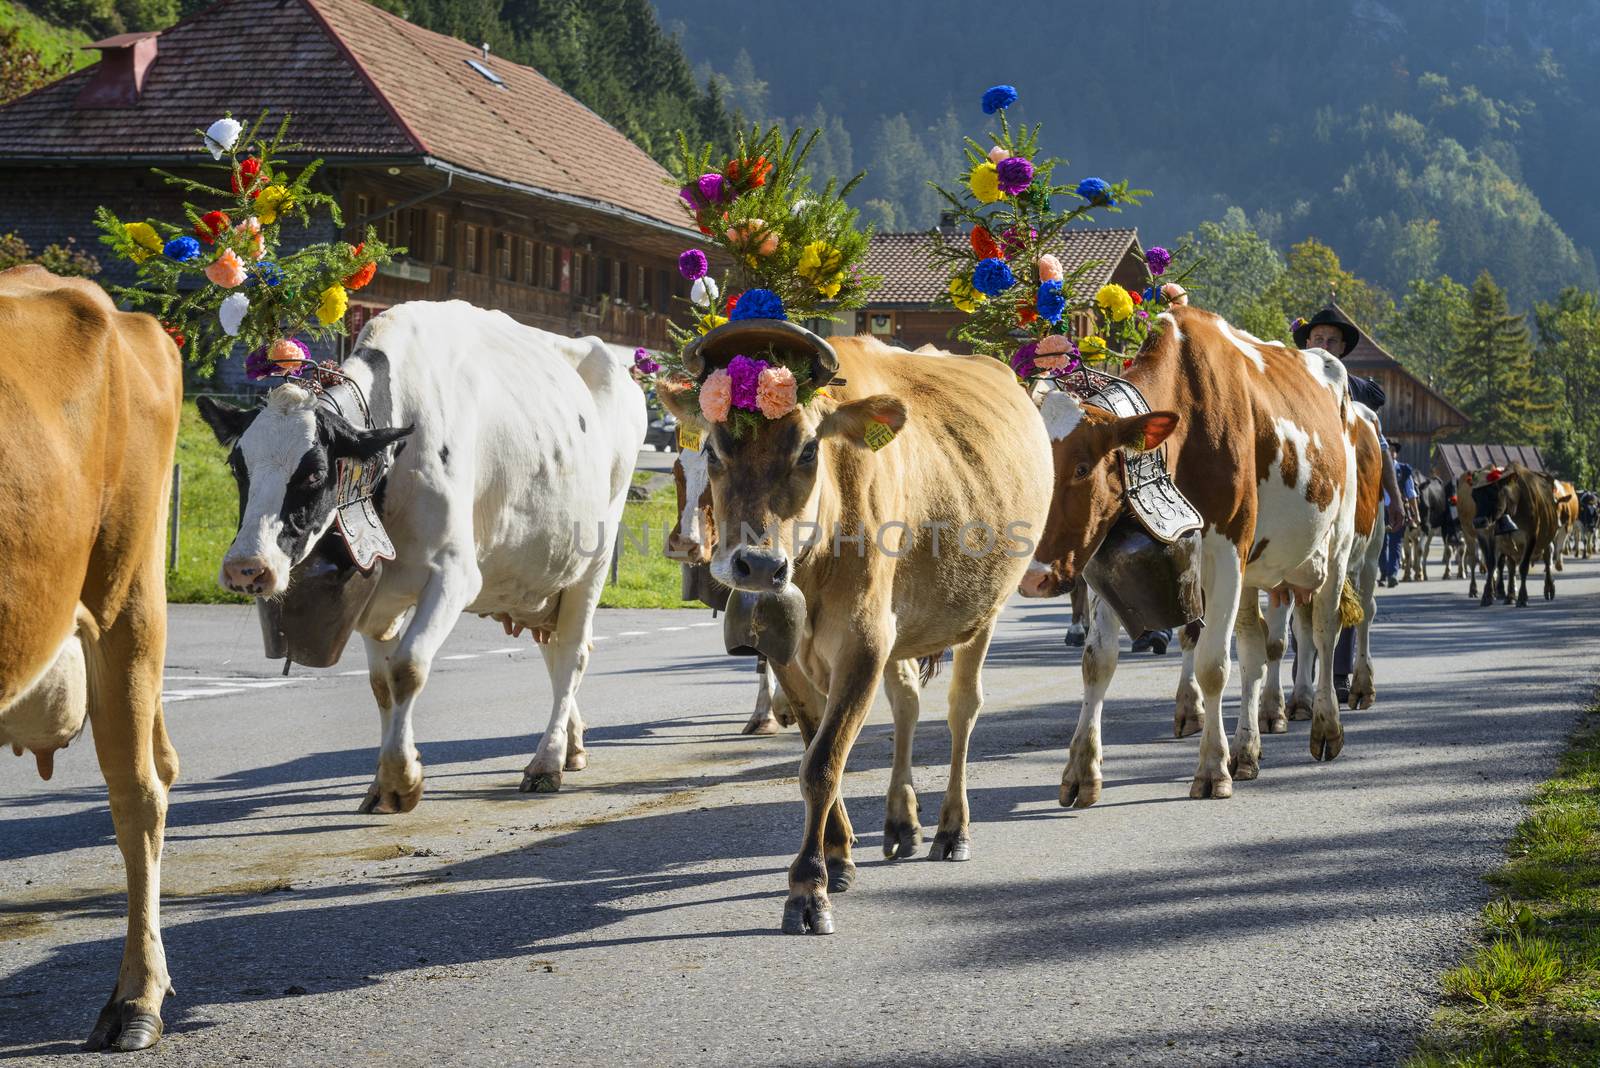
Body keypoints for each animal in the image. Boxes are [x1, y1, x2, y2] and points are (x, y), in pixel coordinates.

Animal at [200, 300, 643, 808]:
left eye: (313, 472)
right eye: (238, 466)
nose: (246, 567)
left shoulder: (455, 573)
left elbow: (408, 669)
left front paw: (401, 779)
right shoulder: (377, 587)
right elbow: (380, 683)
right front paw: (383, 781)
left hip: (592, 561)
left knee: (572, 654)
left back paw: (546, 761)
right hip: (542, 577)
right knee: (554, 654)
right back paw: (571, 746)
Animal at [656, 334, 1056, 933]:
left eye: (807, 450)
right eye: (712, 451)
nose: (756, 565)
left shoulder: (864, 641)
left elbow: (823, 763)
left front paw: (808, 888)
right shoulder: (790, 654)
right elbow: (818, 744)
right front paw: (839, 855)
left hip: (982, 612)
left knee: (963, 709)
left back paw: (951, 830)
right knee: (908, 702)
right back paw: (901, 824)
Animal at [1024, 303, 1363, 805]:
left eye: (1083, 468)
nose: (1034, 577)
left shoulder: (1226, 548)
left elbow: (1213, 664)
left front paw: (1211, 768)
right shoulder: (1105, 561)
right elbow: (1097, 662)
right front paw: (1082, 770)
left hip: (1336, 544)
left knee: (1323, 631)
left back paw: (1324, 727)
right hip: (1256, 569)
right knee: (1257, 646)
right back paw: (1247, 750)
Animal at [1465, 463, 1555, 607]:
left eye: (1493, 494)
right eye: (1474, 496)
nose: (1478, 522)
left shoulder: (1531, 536)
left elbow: (1524, 567)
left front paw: (1523, 598)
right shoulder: (1490, 536)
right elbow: (1491, 564)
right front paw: (1487, 596)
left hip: (1547, 539)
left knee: (1547, 561)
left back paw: (1549, 589)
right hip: (1510, 546)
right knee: (1511, 567)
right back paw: (1510, 595)